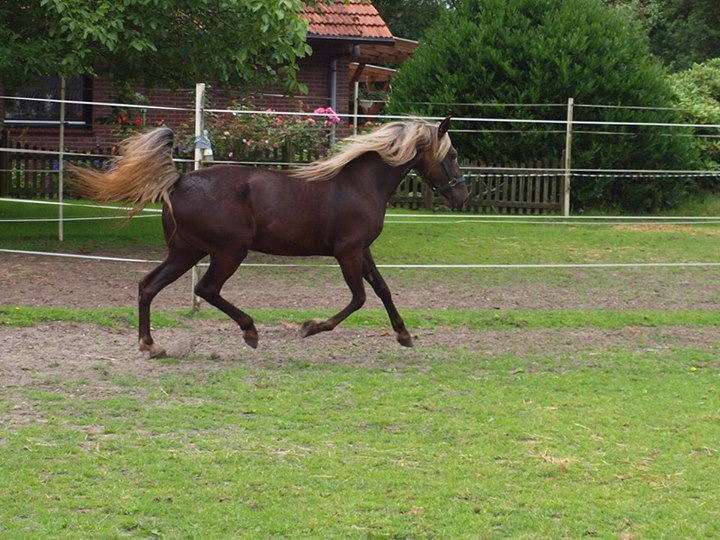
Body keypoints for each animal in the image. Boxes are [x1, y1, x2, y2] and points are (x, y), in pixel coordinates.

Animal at [71, 116, 466, 356]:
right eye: (453, 155)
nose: (461, 198)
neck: (359, 185)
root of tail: (178, 181)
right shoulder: (348, 252)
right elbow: (359, 298)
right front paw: (310, 327)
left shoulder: (361, 250)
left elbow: (382, 290)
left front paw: (404, 335)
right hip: (229, 252)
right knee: (206, 289)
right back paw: (250, 332)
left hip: (185, 252)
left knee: (148, 286)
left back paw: (151, 345)